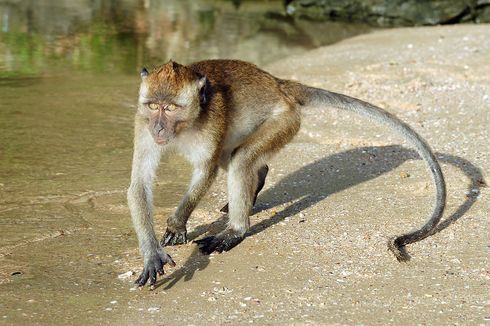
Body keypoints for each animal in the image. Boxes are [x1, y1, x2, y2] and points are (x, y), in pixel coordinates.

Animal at [125, 59, 444, 288]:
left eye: (170, 107)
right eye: (153, 106)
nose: (158, 129)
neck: (186, 125)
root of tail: (278, 84)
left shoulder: (212, 119)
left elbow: (206, 171)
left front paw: (176, 224)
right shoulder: (141, 123)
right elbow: (139, 184)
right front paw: (152, 253)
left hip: (285, 119)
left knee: (240, 160)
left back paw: (236, 230)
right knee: (236, 156)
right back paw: (257, 182)